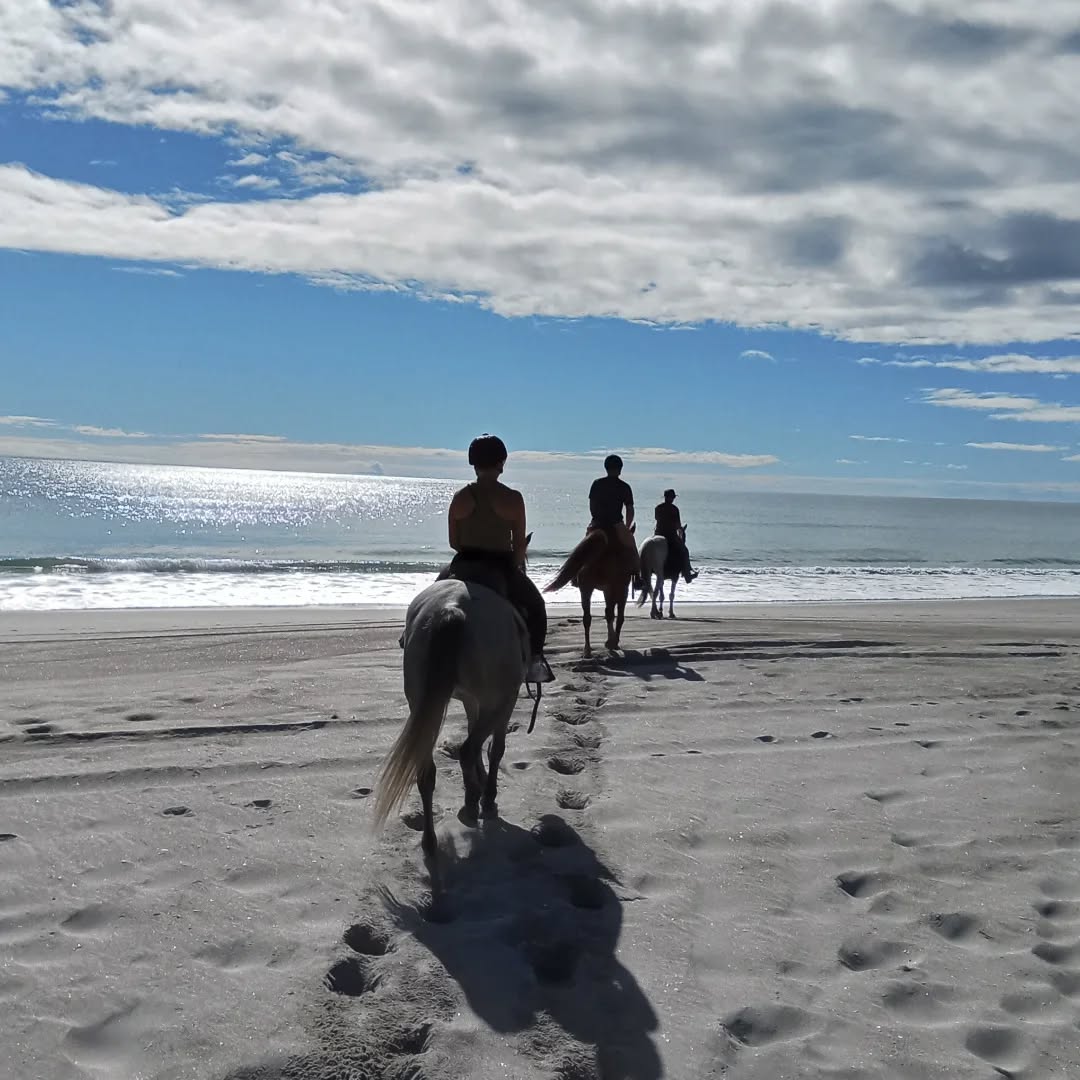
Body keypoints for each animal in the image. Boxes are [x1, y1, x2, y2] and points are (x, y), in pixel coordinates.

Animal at [373, 547, 533, 858]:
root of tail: (452, 609)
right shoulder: (504, 700)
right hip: (498, 698)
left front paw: (480, 782)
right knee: (468, 749)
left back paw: (430, 841)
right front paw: (487, 796)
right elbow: (495, 748)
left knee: (428, 771)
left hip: (422, 700)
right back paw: (471, 805)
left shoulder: (473, 699)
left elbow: (478, 737)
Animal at [544, 525, 642, 657]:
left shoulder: (607, 589)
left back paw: (587, 650)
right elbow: (610, 613)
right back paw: (608, 644)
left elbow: (609, 613)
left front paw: (610, 640)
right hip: (619, 588)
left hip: (587, 588)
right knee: (618, 616)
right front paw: (611, 641)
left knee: (587, 618)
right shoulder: (611, 589)